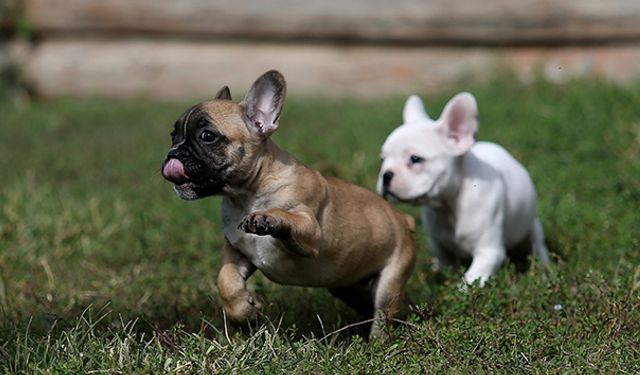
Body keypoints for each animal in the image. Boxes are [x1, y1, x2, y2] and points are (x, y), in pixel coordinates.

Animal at [162, 70, 418, 338]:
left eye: (207, 136)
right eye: (173, 135)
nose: (173, 152)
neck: (248, 194)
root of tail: (403, 218)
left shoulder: (311, 232)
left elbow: (290, 218)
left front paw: (268, 218)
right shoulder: (237, 252)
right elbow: (226, 280)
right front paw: (244, 314)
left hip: (390, 282)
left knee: (382, 314)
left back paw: (376, 340)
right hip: (346, 284)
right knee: (364, 303)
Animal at [376, 92, 552, 286]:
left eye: (415, 159)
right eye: (382, 159)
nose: (386, 175)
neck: (449, 205)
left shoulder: (489, 252)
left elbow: (471, 279)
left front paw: (461, 290)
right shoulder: (440, 247)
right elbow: (448, 266)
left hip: (532, 223)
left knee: (537, 243)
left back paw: (544, 269)